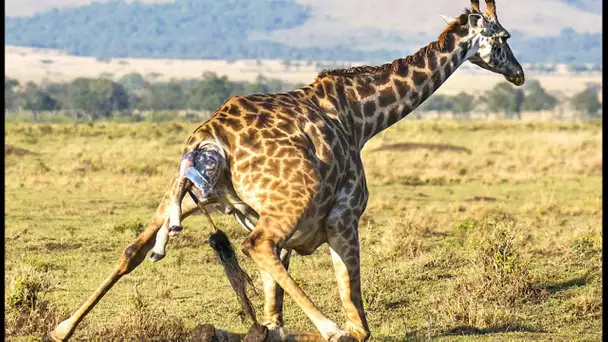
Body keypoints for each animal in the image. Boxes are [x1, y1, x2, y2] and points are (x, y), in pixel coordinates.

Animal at [46, 1, 524, 340]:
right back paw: (329, 328)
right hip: (293, 197)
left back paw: (61, 328)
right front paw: (336, 328)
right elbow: (358, 320)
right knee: (255, 246)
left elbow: (274, 315)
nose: (519, 74)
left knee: (133, 249)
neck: (362, 116)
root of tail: (209, 138)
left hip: (181, 194)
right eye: (503, 36)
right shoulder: (343, 217)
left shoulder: (279, 228)